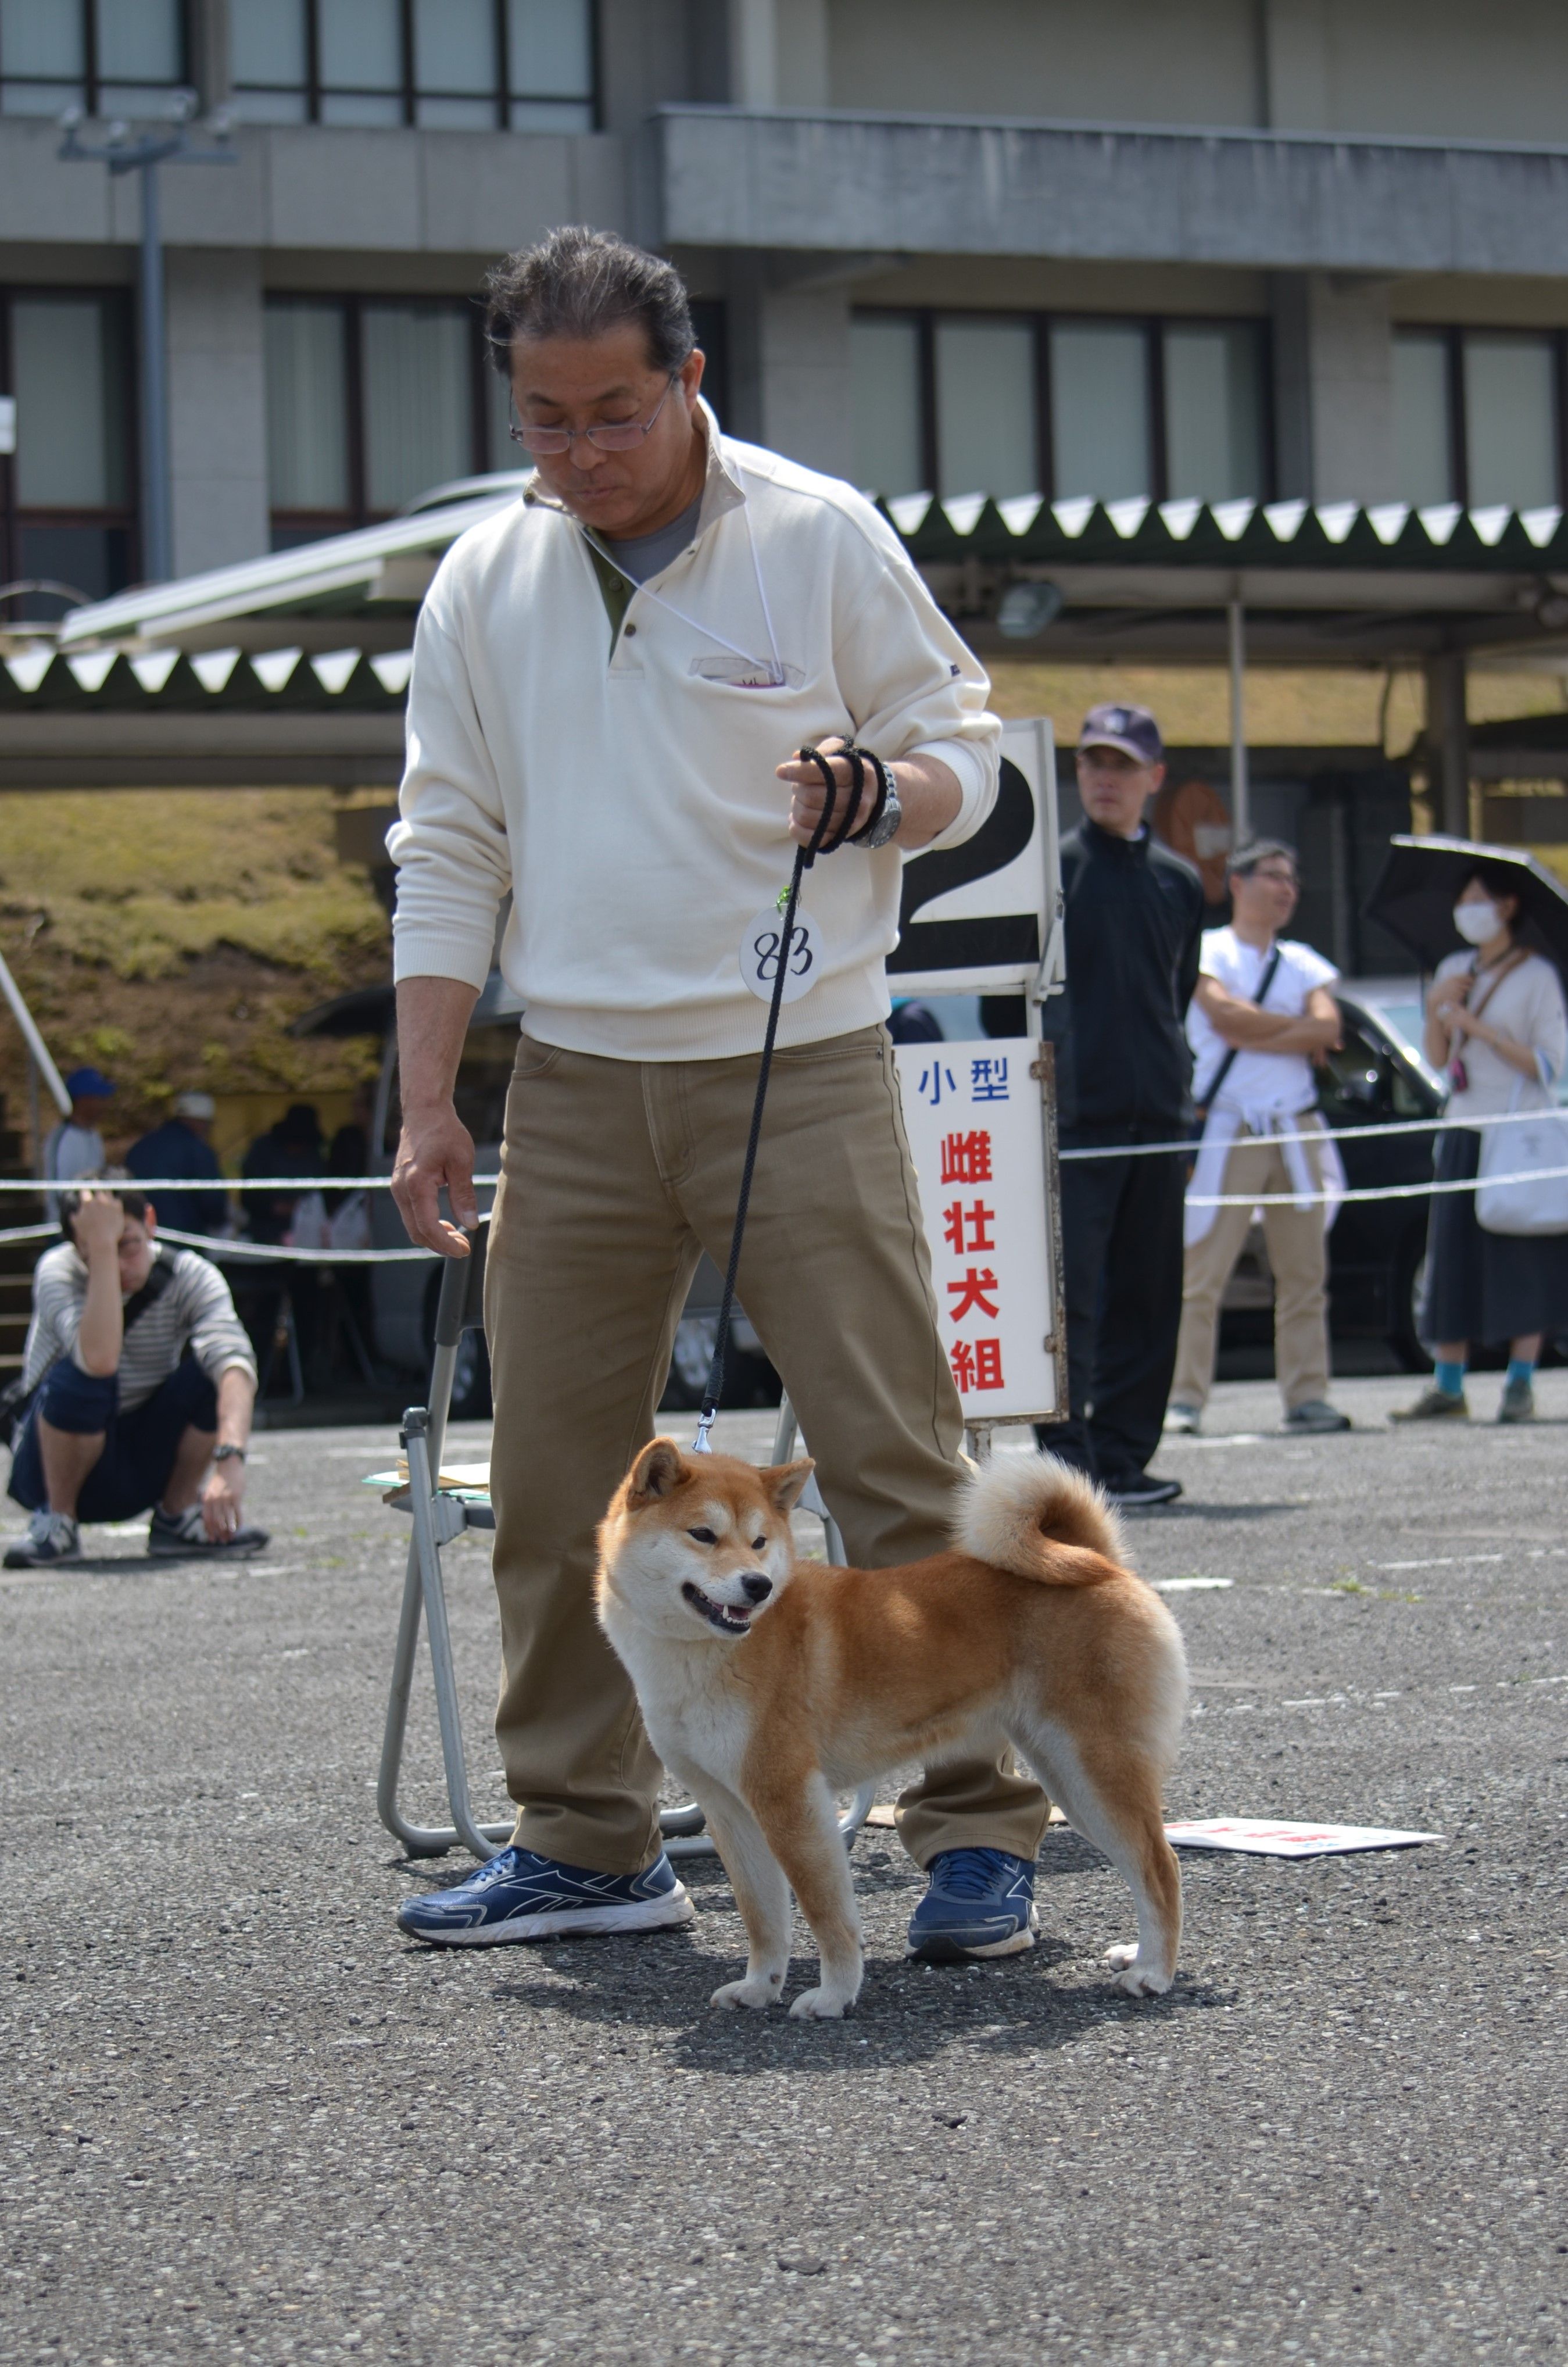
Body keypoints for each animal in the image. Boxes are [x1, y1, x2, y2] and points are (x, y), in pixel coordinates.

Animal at [596, 1439, 1182, 2016]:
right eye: (703, 1534)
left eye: (759, 1542)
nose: (758, 1585)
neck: (703, 1653)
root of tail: (1099, 1560)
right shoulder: (729, 1808)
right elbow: (762, 1917)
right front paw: (760, 1987)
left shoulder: (790, 1799)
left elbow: (826, 1913)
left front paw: (834, 1994)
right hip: (1069, 1778)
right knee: (1146, 1863)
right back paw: (1138, 1955)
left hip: (1092, 1768)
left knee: (1161, 1866)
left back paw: (1153, 1972)